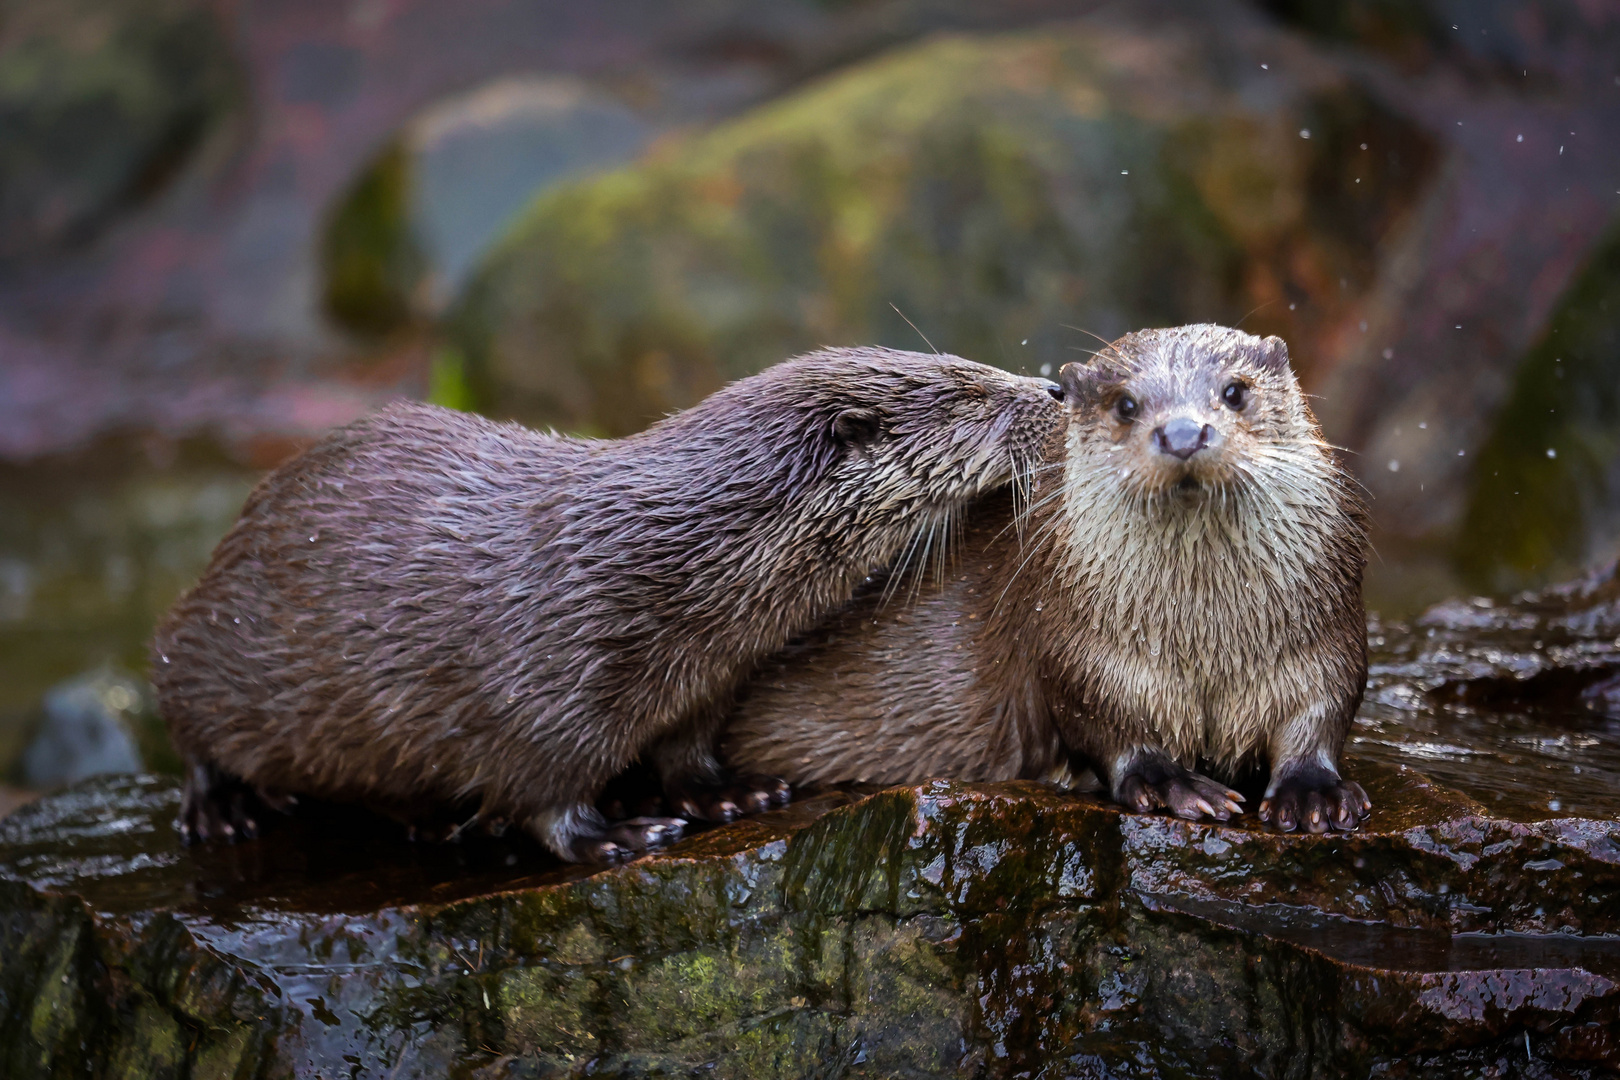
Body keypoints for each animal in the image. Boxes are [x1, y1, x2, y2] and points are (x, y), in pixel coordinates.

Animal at [152, 346, 1062, 861]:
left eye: (982, 366)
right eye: (974, 395)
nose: (1054, 390)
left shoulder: (709, 683)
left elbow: (686, 751)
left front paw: (727, 797)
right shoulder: (542, 691)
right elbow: (542, 795)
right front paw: (615, 834)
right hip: (212, 642)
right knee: (180, 703)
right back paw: (224, 808)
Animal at [729, 325, 1373, 835]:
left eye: (1235, 392)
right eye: (1126, 405)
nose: (1185, 433)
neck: (1207, 641)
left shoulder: (1323, 639)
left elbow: (1323, 707)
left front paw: (1313, 792)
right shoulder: (1083, 656)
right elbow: (1108, 727)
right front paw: (1170, 782)